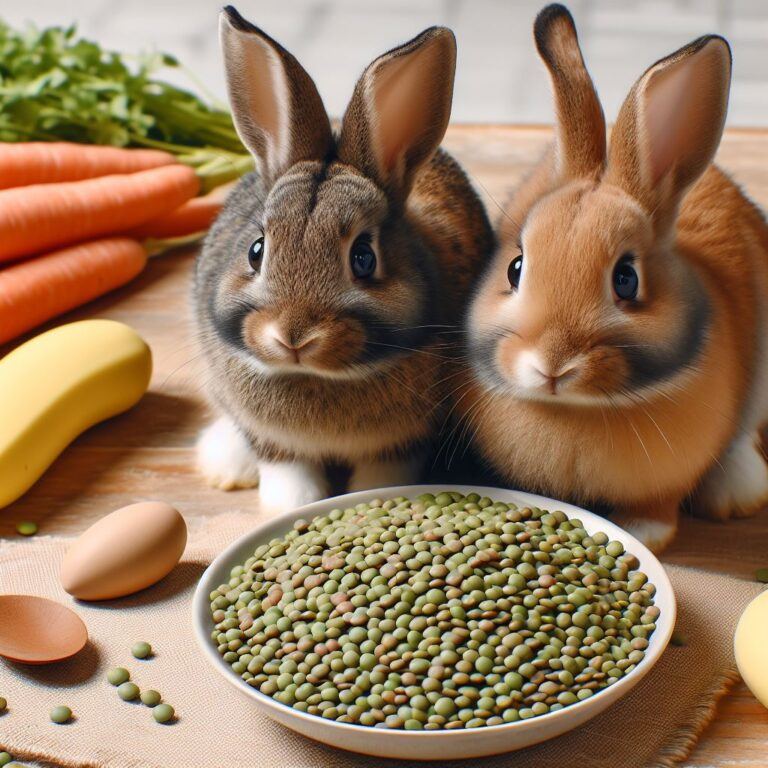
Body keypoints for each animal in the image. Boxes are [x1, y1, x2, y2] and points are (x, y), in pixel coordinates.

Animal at [192, 7, 492, 516]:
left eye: (364, 257)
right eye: (256, 250)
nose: (293, 336)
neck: (315, 375)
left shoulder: (402, 443)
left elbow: (381, 478)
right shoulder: (272, 440)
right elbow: (287, 472)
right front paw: (292, 506)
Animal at [460, 1, 768, 552]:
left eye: (626, 279)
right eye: (515, 268)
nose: (552, 365)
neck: (574, 410)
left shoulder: (663, 483)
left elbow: (657, 510)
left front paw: (644, 534)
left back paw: (735, 494)